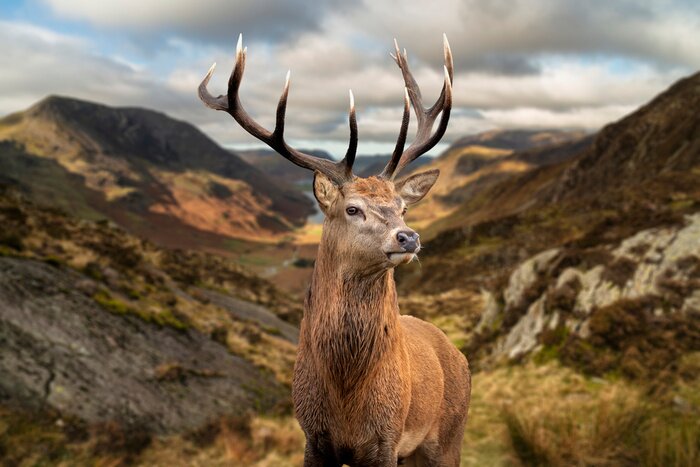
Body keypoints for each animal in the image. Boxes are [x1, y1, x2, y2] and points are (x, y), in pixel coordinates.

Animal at [199, 34, 470, 467]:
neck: (345, 396)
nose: (408, 237)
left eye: (403, 208)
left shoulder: (386, 440)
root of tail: (458, 354)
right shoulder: (312, 436)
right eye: (352, 208)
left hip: (448, 437)